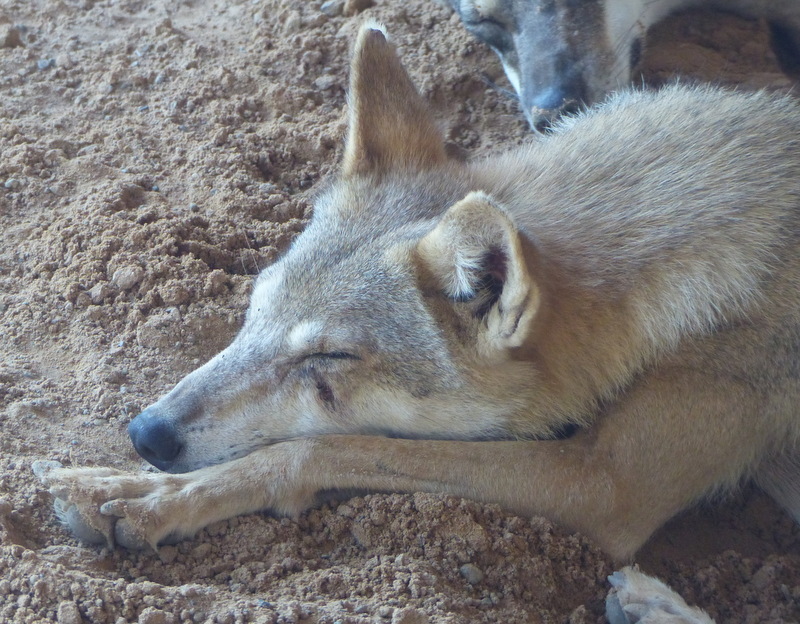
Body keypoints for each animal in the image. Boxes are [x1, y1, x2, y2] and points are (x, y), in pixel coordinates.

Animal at [36, 19, 800, 620]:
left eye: (329, 359)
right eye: (255, 307)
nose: (146, 433)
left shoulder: (605, 487)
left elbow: (313, 450)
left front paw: (144, 499)